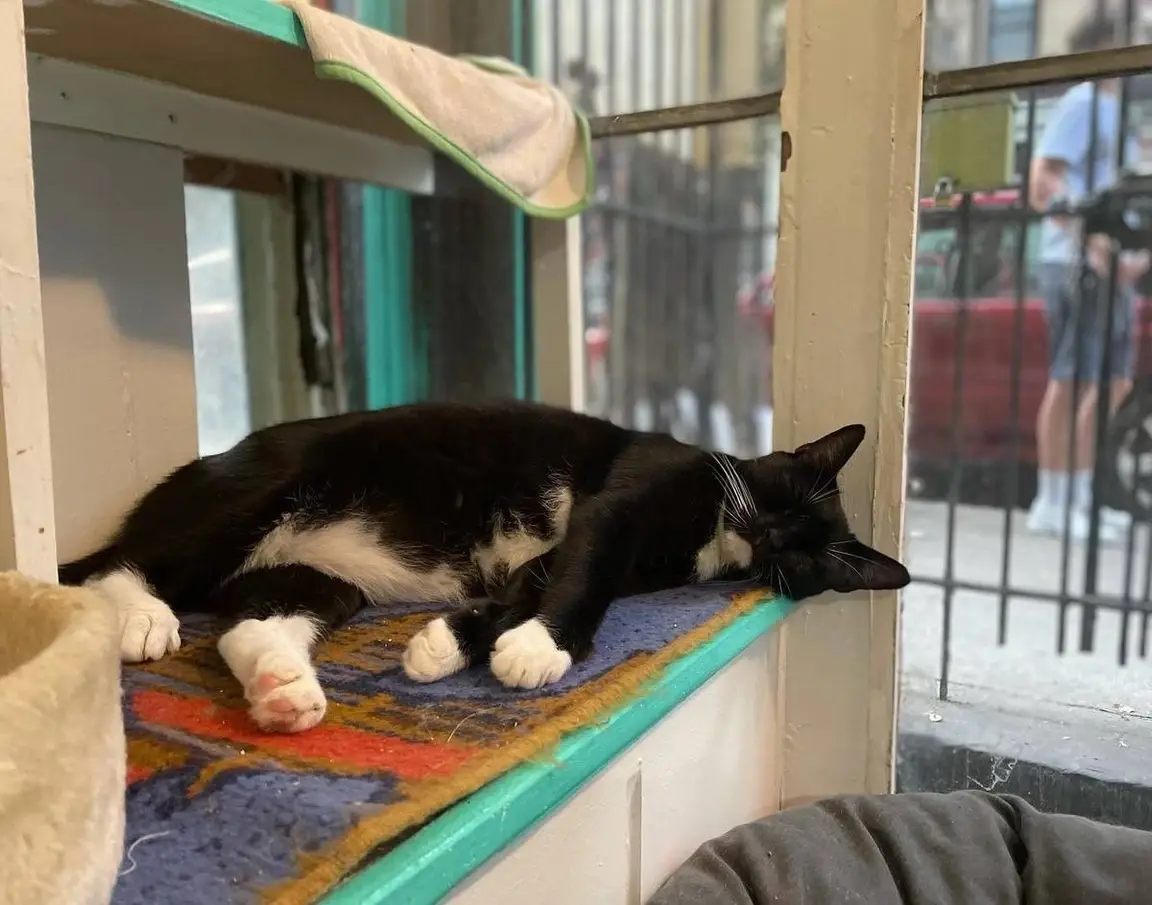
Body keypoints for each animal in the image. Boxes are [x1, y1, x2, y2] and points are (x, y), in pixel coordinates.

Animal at [60, 402, 907, 732]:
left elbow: (530, 583)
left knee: (247, 620)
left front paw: (452, 645)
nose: (772, 534)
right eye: (785, 493)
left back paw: (282, 689)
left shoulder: (552, 556)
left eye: (810, 553)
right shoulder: (613, 510)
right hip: (256, 494)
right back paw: (142, 615)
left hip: (321, 577)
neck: (715, 532)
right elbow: (585, 580)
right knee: (116, 565)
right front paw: (542, 649)